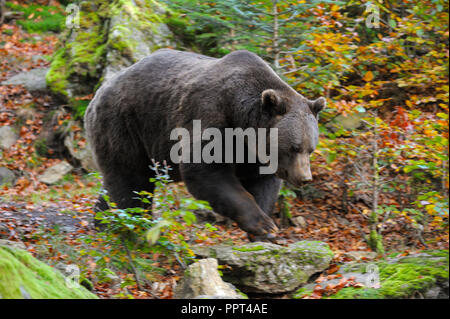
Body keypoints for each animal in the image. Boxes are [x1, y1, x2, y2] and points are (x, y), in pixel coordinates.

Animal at [83, 48, 324, 241]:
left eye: (310, 149)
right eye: (294, 147)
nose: (304, 178)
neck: (241, 120)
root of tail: (98, 92)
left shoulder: (254, 153)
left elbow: (262, 184)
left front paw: (266, 231)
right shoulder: (210, 116)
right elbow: (206, 171)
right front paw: (263, 224)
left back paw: (102, 220)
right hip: (125, 124)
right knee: (130, 178)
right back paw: (130, 224)